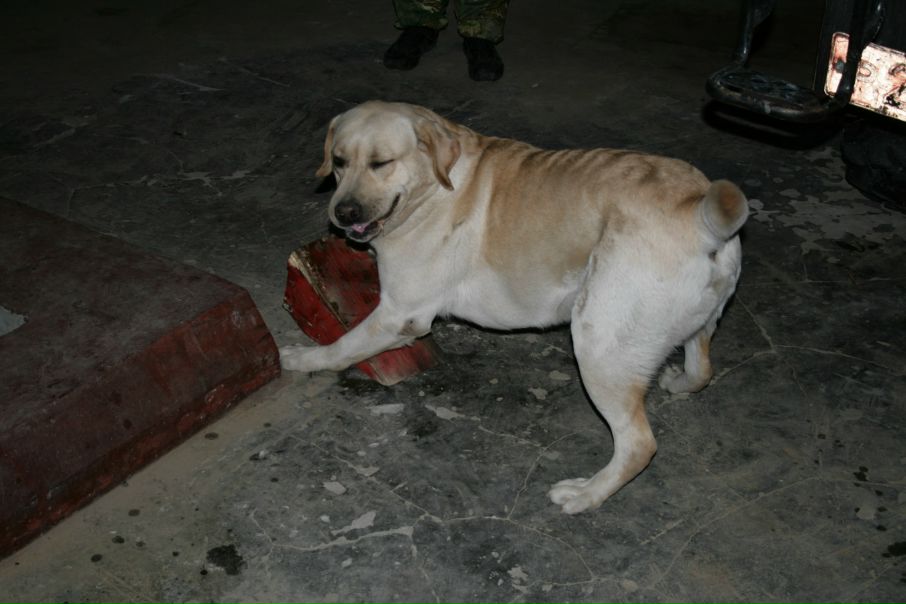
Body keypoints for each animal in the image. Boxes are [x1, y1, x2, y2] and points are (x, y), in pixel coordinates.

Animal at [280, 101, 748, 514]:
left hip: (598, 345)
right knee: (702, 369)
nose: (343, 212)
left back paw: (586, 494)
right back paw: (679, 383)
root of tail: (699, 213)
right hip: (693, 325)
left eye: (382, 163)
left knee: (638, 444)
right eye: (339, 161)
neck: (435, 186)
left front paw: (301, 358)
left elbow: (341, 347)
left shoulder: (400, 315)